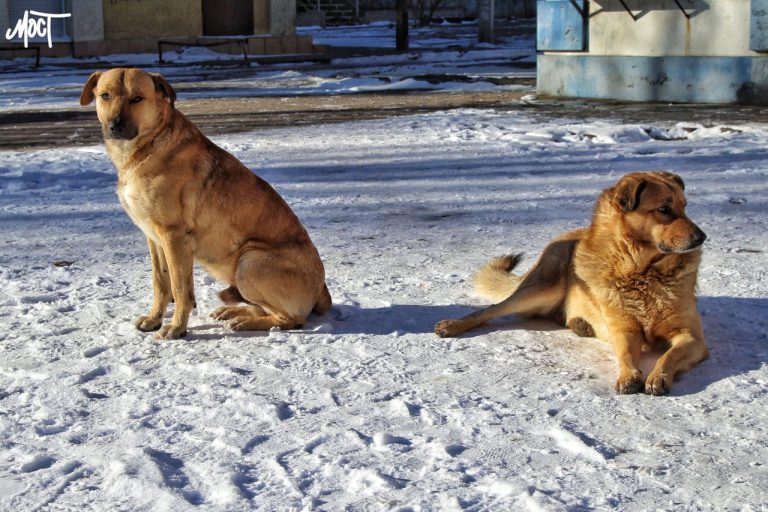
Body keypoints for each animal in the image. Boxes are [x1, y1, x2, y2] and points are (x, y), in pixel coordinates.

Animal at [81, 68, 330, 340]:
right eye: (105, 96)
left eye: (137, 98)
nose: (114, 126)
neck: (148, 146)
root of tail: (322, 288)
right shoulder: (154, 238)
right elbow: (160, 282)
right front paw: (154, 319)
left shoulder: (173, 236)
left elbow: (179, 289)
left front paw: (176, 328)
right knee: (263, 308)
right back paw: (233, 312)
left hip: (249, 260)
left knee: (291, 319)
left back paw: (246, 322)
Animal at [436, 172, 712, 396]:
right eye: (664, 209)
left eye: (685, 207)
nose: (702, 237)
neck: (641, 271)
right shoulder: (624, 329)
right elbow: (624, 353)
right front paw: (629, 375)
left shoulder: (692, 337)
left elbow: (669, 354)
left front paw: (658, 375)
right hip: (541, 289)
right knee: (491, 309)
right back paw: (453, 325)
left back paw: (581, 324)